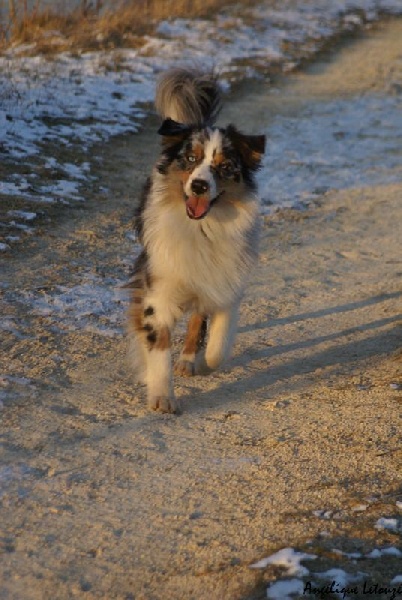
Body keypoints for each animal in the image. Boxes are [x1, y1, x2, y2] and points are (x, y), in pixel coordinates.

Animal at [127, 67, 266, 412]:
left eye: (225, 167)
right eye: (190, 159)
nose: (200, 186)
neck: (203, 229)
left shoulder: (226, 279)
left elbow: (218, 343)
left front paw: (202, 363)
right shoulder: (158, 286)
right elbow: (157, 345)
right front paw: (161, 394)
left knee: (198, 319)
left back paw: (190, 359)